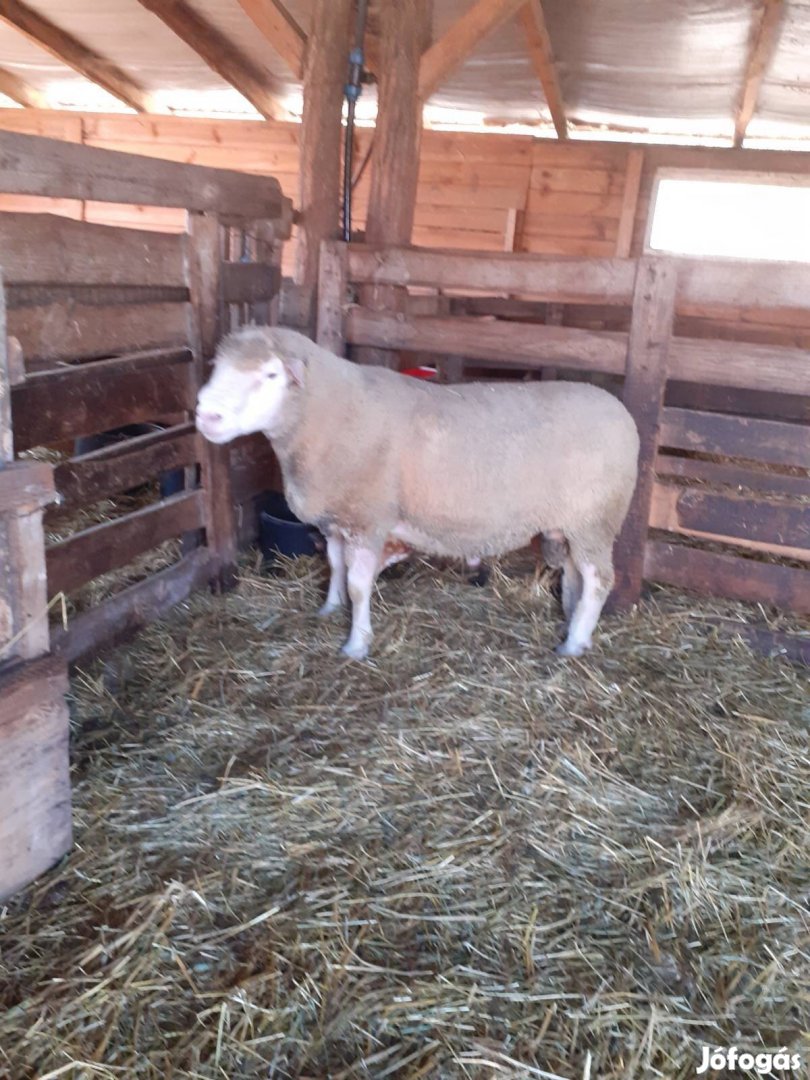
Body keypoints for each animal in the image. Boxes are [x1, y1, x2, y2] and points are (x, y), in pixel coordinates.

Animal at [196, 324, 639, 656]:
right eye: (217, 367)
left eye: (271, 375)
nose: (206, 416)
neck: (330, 414)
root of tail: (622, 412)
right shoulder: (340, 518)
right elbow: (335, 566)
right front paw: (329, 608)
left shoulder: (369, 519)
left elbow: (359, 585)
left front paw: (356, 644)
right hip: (573, 525)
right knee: (575, 572)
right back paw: (571, 621)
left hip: (596, 518)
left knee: (600, 579)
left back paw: (574, 644)